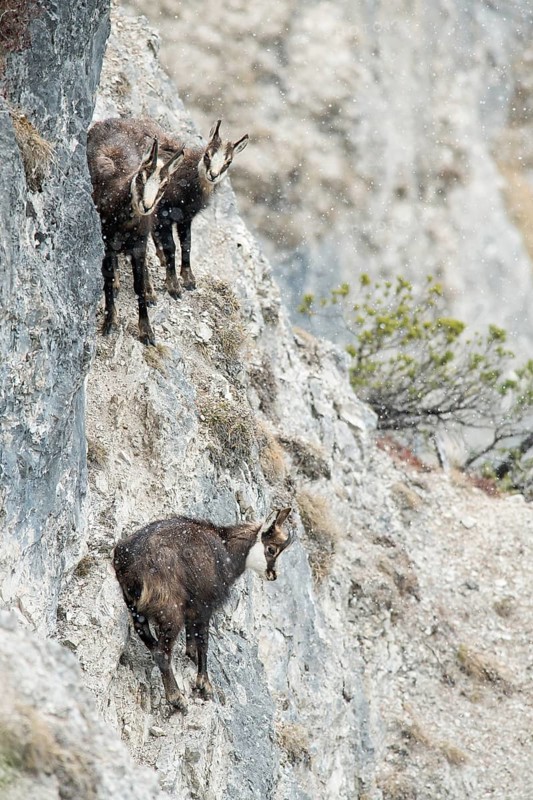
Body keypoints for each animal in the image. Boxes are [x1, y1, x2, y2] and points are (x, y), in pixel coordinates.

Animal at [87, 118, 184, 345]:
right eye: (141, 176)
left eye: (164, 184)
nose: (146, 206)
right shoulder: (106, 243)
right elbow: (107, 279)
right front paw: (110, 322)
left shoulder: (139, 245)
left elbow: (138, 286)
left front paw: (146, 331)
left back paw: (150, 291)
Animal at [113, 507, 292, 712]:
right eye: (271, 549)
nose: (273, 575)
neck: (227, 548)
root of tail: (132, 562)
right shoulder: (205, 604)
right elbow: (203, 642)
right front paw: (204, 684)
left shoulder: (193, 607)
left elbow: (192, 641)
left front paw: (193, 661)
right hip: (170, 609)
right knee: (161, 652)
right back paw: (176, 697)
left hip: (135, 607)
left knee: (150, 640)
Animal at [128, 119, 248, 297]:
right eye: (207, 155)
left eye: (228, 162)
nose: (213, 175)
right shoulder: (163, 215)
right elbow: (172, 246)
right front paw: (174, 286)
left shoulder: (185, 218)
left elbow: (187, 243)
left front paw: (189, 279)